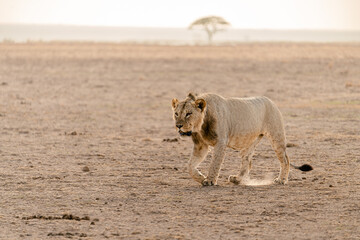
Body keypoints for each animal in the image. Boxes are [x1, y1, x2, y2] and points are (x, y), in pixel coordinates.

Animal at [172, 93, 312, 187]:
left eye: (188, 114)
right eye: (176, 114)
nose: (178, 125)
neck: (200, 127)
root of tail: (270, 101)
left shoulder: (221, 142)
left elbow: (215, 163)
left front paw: (210, 180)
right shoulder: (201, 146)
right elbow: (190, 166)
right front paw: (201, 178)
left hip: (276, 136)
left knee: (285, 159)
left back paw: (281, 180)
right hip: (250, 142)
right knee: (248, 162)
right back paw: (237, 179)